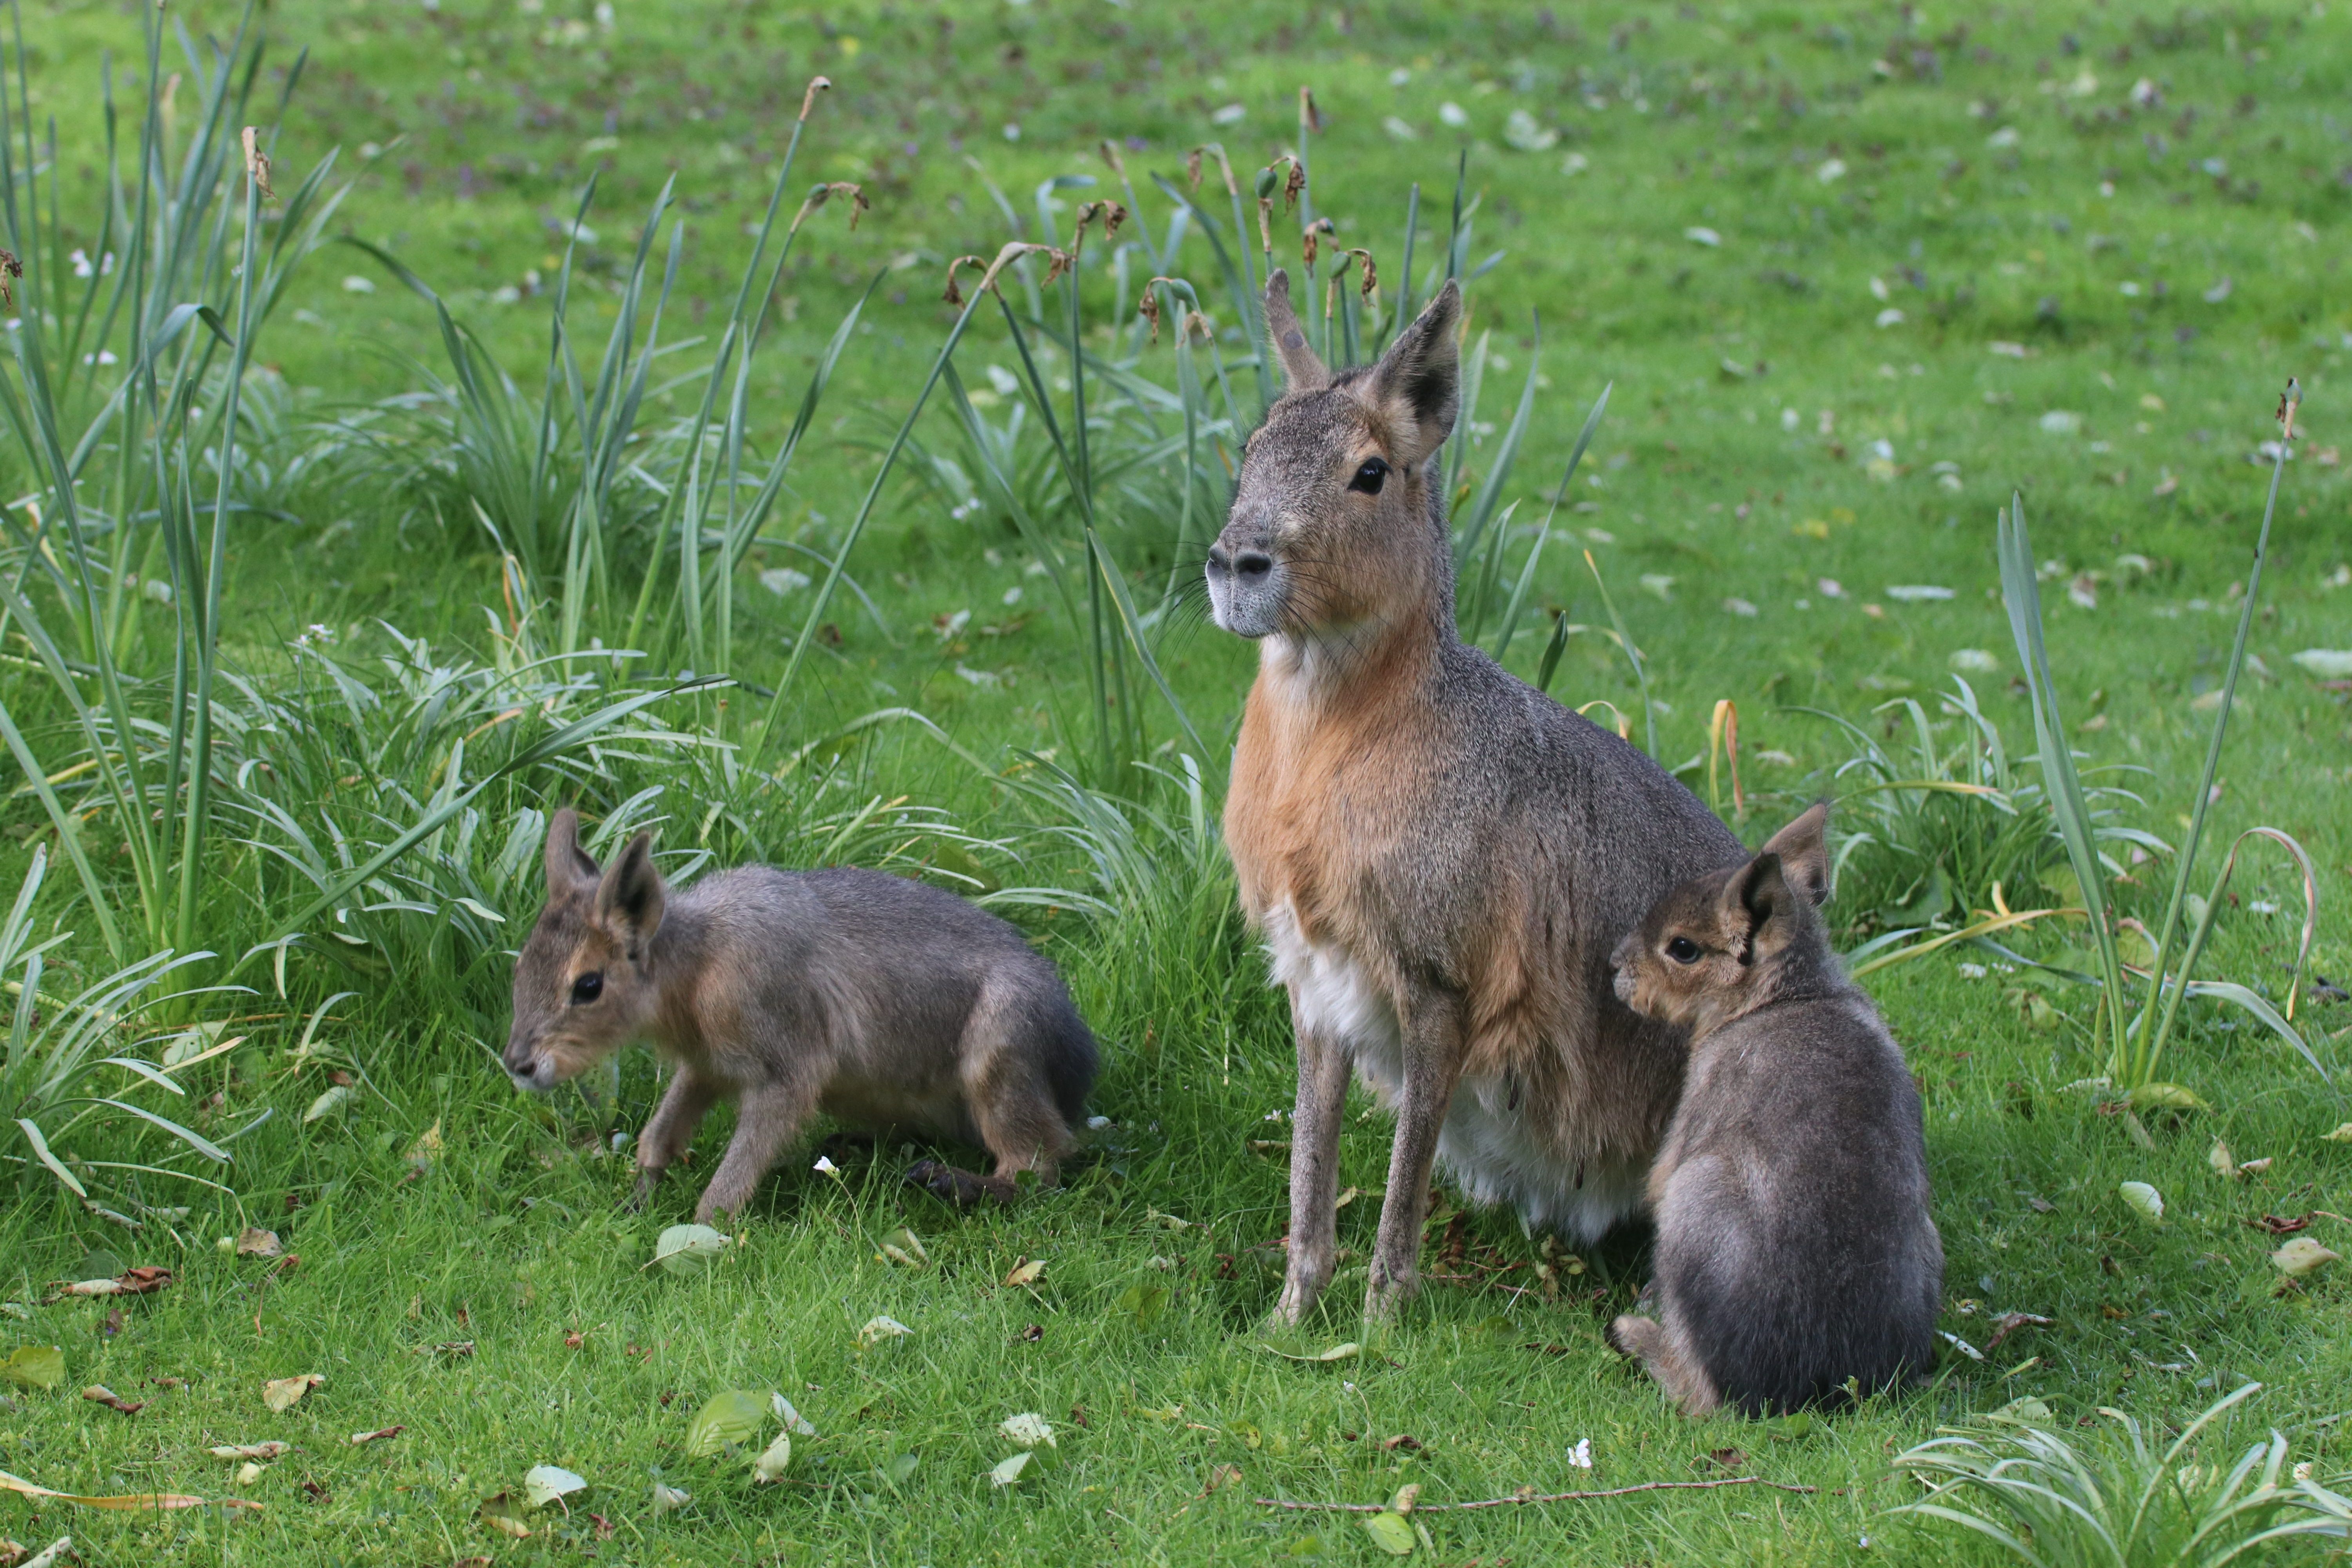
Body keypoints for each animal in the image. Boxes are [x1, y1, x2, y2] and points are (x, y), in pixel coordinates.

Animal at [504, 809, 1098, 1220]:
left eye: (588, 985)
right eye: (522, 966)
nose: (518, 1065)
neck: (697, 970)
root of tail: (1079, 1068)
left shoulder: (788, 1068)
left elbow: (735, 1173)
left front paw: (698, 1235)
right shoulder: (705, 1066)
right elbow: (659, 1135)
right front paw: (635, 1202)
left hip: (1000, 1055)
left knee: (1039, 1165)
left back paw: (950, 1181)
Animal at [1208, 270, 1747, 1320]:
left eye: (1370, 472)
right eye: (1251, 450)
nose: (1235, 564)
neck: (1329, 751)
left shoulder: (1442, 981)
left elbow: (1407, 1168)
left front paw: (1381, 1322)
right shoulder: (1314, 977)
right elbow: (1309, 1156)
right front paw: (1290, 1315)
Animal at [1605, 804, 1943, 1416]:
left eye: (1683, 947)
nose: (1614, 965)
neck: (1788, 998)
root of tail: (1815, 1384)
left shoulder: (1692, 1119)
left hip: (1696, 1198)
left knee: (1705, 1398)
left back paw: (1632, 1334)